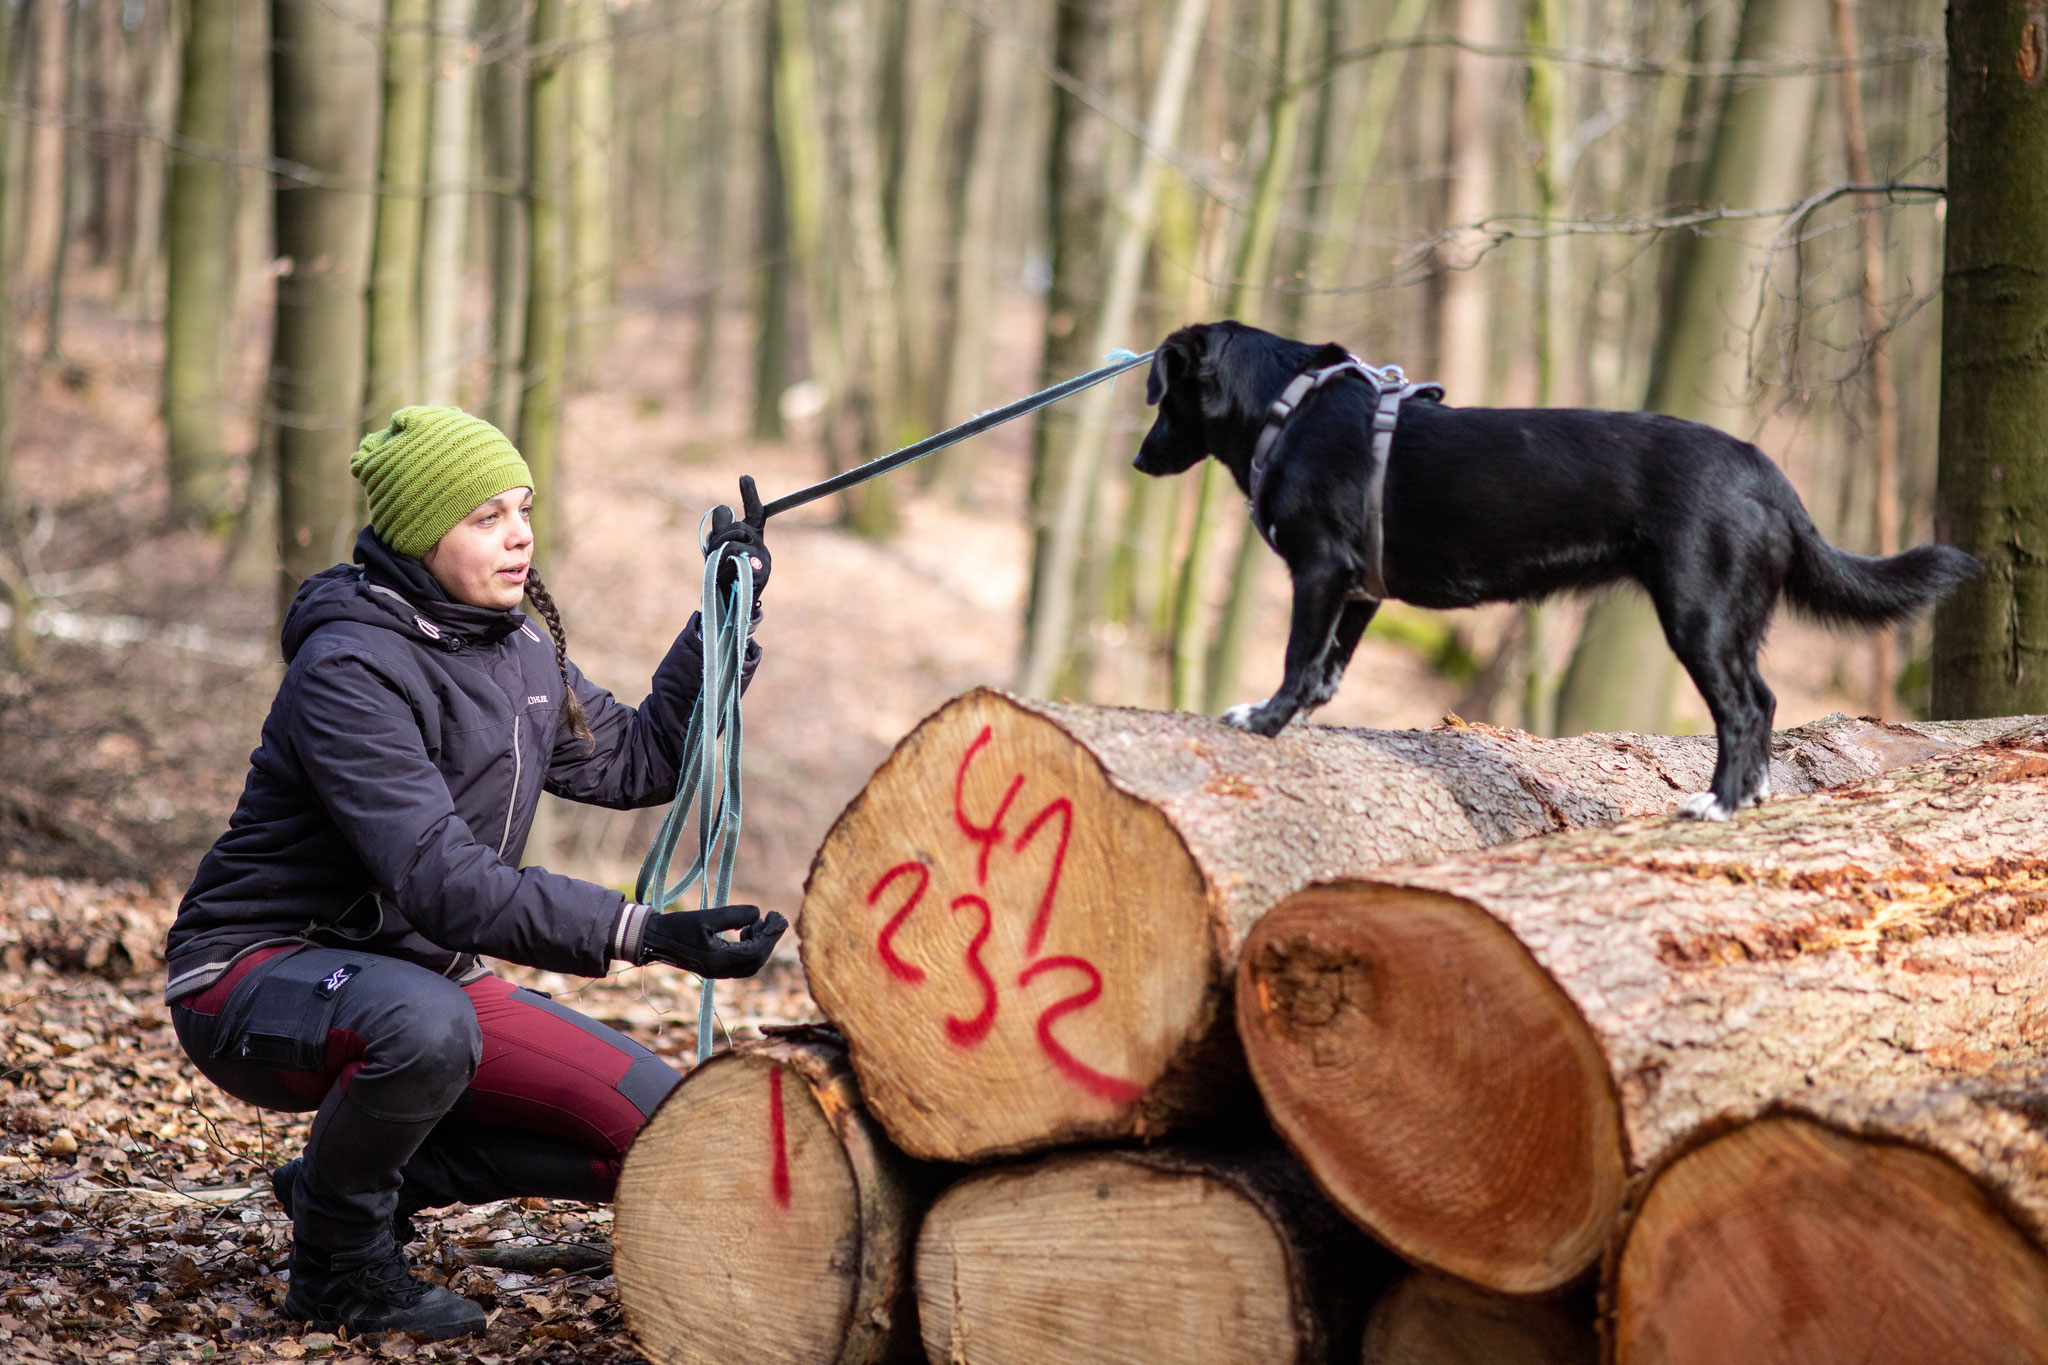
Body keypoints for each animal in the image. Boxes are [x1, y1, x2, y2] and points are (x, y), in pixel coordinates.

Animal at [1138, 325, 1982, 822]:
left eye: (1159, 391)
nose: (1141, 458)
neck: (1291, 406)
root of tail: (1769, 474)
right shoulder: (1358, 591)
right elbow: (1326, 669)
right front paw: (1303, 720)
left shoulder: (1318, 570)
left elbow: (1295, 659)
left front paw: (1262, 721)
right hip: (1730, 615)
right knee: (1766, 701)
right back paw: (1749, 795)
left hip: (1698, 612)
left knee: (1746, 707)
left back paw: (1718, 804)